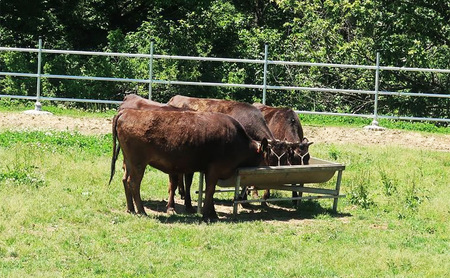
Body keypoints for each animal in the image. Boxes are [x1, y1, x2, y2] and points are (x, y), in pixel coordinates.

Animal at [109, 108, 270, 222]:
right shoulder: (214, 169)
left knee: (125, 180)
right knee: (133, 183)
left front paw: (212, 213)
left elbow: (208, 191)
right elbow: (210, 190)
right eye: (267, 156)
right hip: (138, 163)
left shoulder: (207, 170)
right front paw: (207, 215)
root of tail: (127, 112)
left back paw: (131, 209)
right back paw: (142, 211)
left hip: (129, 162)